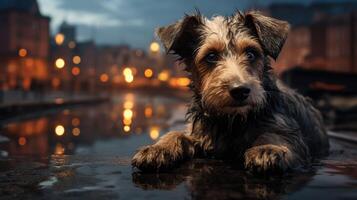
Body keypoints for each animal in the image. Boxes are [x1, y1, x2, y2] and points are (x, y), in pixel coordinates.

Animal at [132, 10, 330, 173]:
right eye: (211, 56)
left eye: (251, 53)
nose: (240, 90)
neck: (232, 120)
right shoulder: (202, 134)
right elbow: (178, 133)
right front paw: (159, 147)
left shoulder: (290, 133)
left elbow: (277, 134)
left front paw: (268, 147)